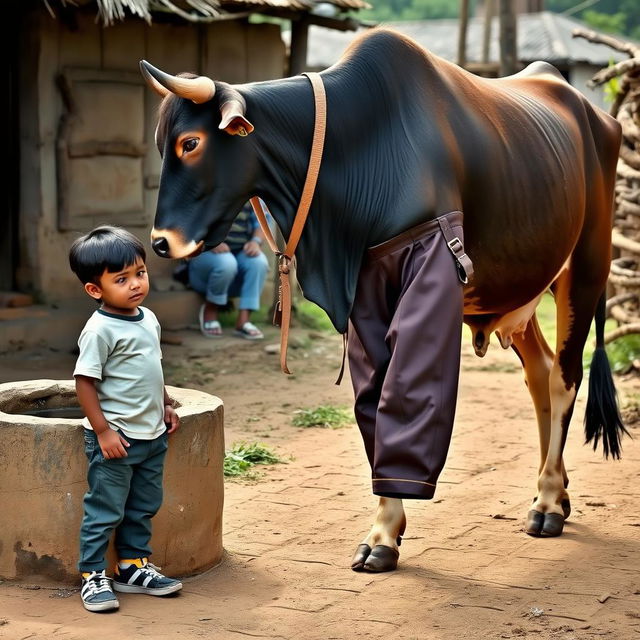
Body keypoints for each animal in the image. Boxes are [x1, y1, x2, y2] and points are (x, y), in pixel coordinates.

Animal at [139, 27, 624, 572]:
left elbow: (406, 392)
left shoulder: (431, 266)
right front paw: (384, 529)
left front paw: (385, 533)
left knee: (564, 378)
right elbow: (375, 400)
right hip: (522, 286)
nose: (160, 243)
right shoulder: (366, 290)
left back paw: (548, 501)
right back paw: (553, 491)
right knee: (539, 373)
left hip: (587, 265)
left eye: (191, 142)